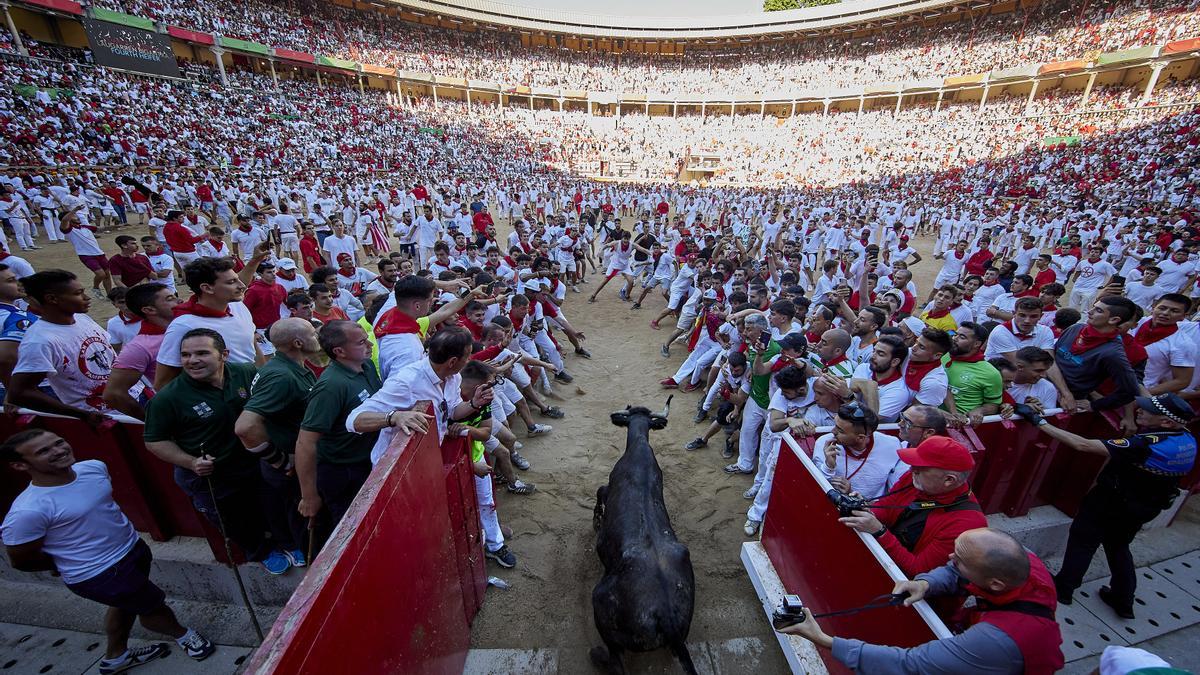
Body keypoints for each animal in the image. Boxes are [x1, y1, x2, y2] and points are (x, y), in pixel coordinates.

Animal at [588, 393, 696, 672]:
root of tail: (667, 619)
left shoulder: (608, 487)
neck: (639, 446)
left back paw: (597, 655)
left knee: (615, 662)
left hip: (600, 606)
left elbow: (599, 491)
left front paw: (596, 520)